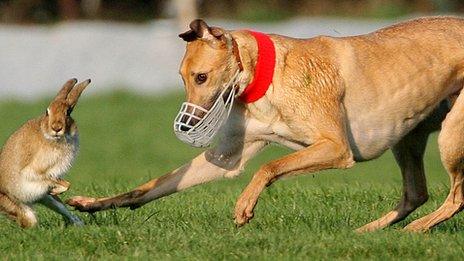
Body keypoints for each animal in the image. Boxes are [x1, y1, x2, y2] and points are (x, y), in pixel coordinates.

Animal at [68, 16, 464, 231]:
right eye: (182, 78)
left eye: (201, 77)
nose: (185, 126)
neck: (267, 75)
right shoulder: (228, 158)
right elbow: (150, 187)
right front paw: (93, 204)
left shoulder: (335, 148)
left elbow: (269, 167)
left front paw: (244, 205)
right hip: (409, 137)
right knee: (416, 193)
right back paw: (371, 231)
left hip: (449, 137)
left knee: (455, 197)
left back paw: (416, 229)